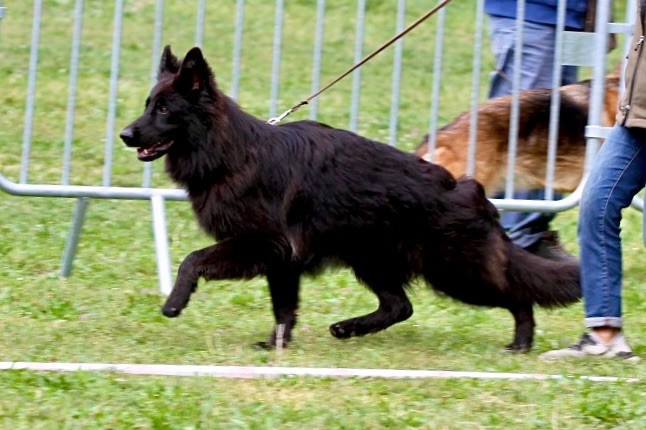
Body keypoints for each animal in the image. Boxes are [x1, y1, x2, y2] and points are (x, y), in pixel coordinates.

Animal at [121, 45, 584, 352]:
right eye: (148, 104)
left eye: (164, 110)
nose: (125, 134)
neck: (229, 151)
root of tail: (469, 190)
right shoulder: (281, 260)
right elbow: (283, 308)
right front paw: (277, 346)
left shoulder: (260, 244)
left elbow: (192, 259)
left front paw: (174, 302)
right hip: (373, 259)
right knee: (400, 306)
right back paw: (350, 328)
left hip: (455, 271)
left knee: (516, 293)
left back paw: (521, 341)